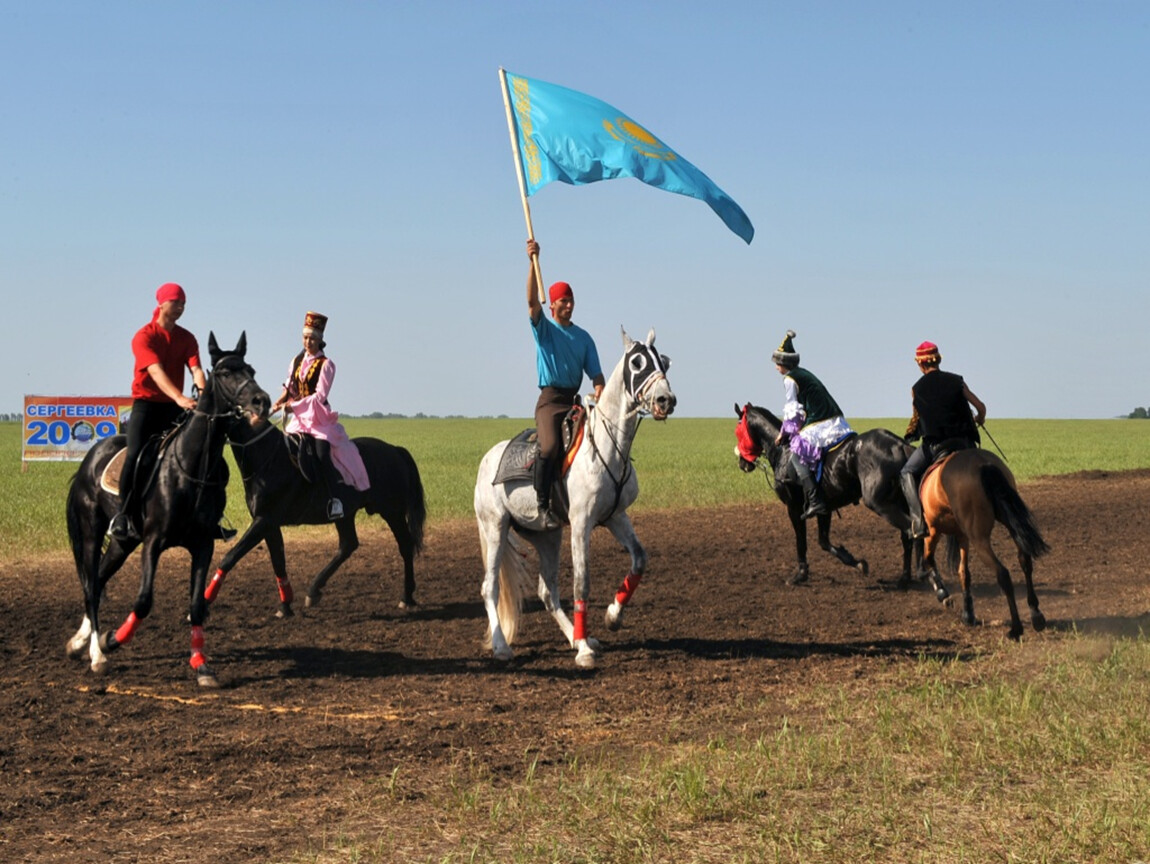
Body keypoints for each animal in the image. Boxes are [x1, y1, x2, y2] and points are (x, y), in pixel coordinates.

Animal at [66, 333, 271, 685]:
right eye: (224, 373)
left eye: (251, 370)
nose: (262, 401)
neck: (190, 468)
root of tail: (89, 459)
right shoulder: (153, 542)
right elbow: (143, 602)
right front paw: (111, 640)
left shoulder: (202, 544)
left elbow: (197, 604)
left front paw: (201, 665)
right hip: (93, 532)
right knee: (91, 585)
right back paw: (96, 654)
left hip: (123, 542)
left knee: (99, 579)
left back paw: (79, 641)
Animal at [203, 414, 427, 616]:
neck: (268, 458)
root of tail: (395, 450)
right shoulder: (268, 524)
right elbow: (278, 562)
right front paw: (285, 606)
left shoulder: (264, 521)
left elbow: (231, 556)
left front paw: (204, 600)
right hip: (346, 515)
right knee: (348, 545)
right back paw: (314, 590)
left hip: (392, 511)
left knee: (405, 546)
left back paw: (406, 597)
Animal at [473, 326, 671, 671]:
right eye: (636, 363)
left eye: (665, 362)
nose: (665, 400)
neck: (607, 445)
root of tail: (486, 461)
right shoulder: (581, 523)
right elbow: (582, 582)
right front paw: (585, 653)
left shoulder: (615, 517)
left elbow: (639, 560)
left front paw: (612, 618)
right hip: (495, 527)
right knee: (490, 587)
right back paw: (502, 646)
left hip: (547, 536)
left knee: (547, 592)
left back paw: (577, 637)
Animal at [736, 402, 924, 584]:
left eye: (738, 432)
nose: (742, 464)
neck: (784, 451)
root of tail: (900, 445)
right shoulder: (824, 510)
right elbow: (824, 542)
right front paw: (857, 563)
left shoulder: (794, 508)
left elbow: (801, 541)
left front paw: (801, 574)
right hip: (900, 502)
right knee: (909, 535)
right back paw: (905, 577)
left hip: (880, 503)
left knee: (911, 531)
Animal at [915, 446, 1053, 644]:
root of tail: (982, 464)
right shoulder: (962, 536)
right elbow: (964, 573)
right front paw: (968, 613)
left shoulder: (933, 530)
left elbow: (929, 559)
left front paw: (943, 594)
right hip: (1008, 524)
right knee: (1025, 561)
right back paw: (1036, 615)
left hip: (978, 539)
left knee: (1003, 573)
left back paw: (1016, 628)